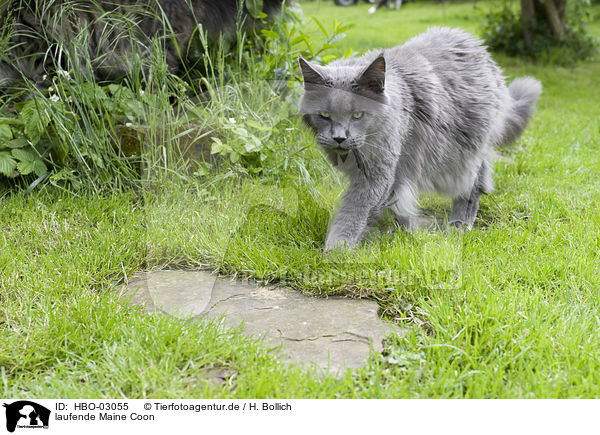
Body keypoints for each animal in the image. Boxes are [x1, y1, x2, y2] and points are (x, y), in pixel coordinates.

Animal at [300, 26, 544, 252]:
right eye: (324, 115)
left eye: (357, 115)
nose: (339, 137)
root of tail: (478, 46)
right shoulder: (396, 168)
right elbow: (398, 204)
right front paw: (406, 234)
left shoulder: (377, 173)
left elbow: (352, 214)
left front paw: (335, 251)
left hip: (462, 152)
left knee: (471, 188)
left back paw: (459, 225)